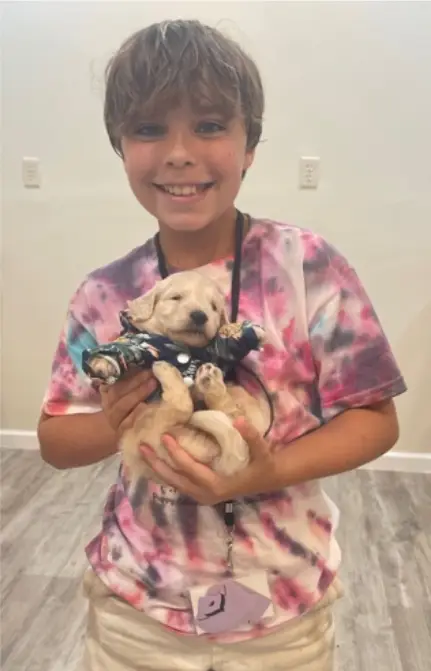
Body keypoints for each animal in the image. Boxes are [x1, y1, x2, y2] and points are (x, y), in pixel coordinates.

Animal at [96, 272, 268, 488]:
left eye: (213, 307)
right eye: (176, 297)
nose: (200, 315)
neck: (179, 346)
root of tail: (216, 461)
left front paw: (241, 330)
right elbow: (124, 348)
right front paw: (103, 363)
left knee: (195, 409)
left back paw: (189, 375)